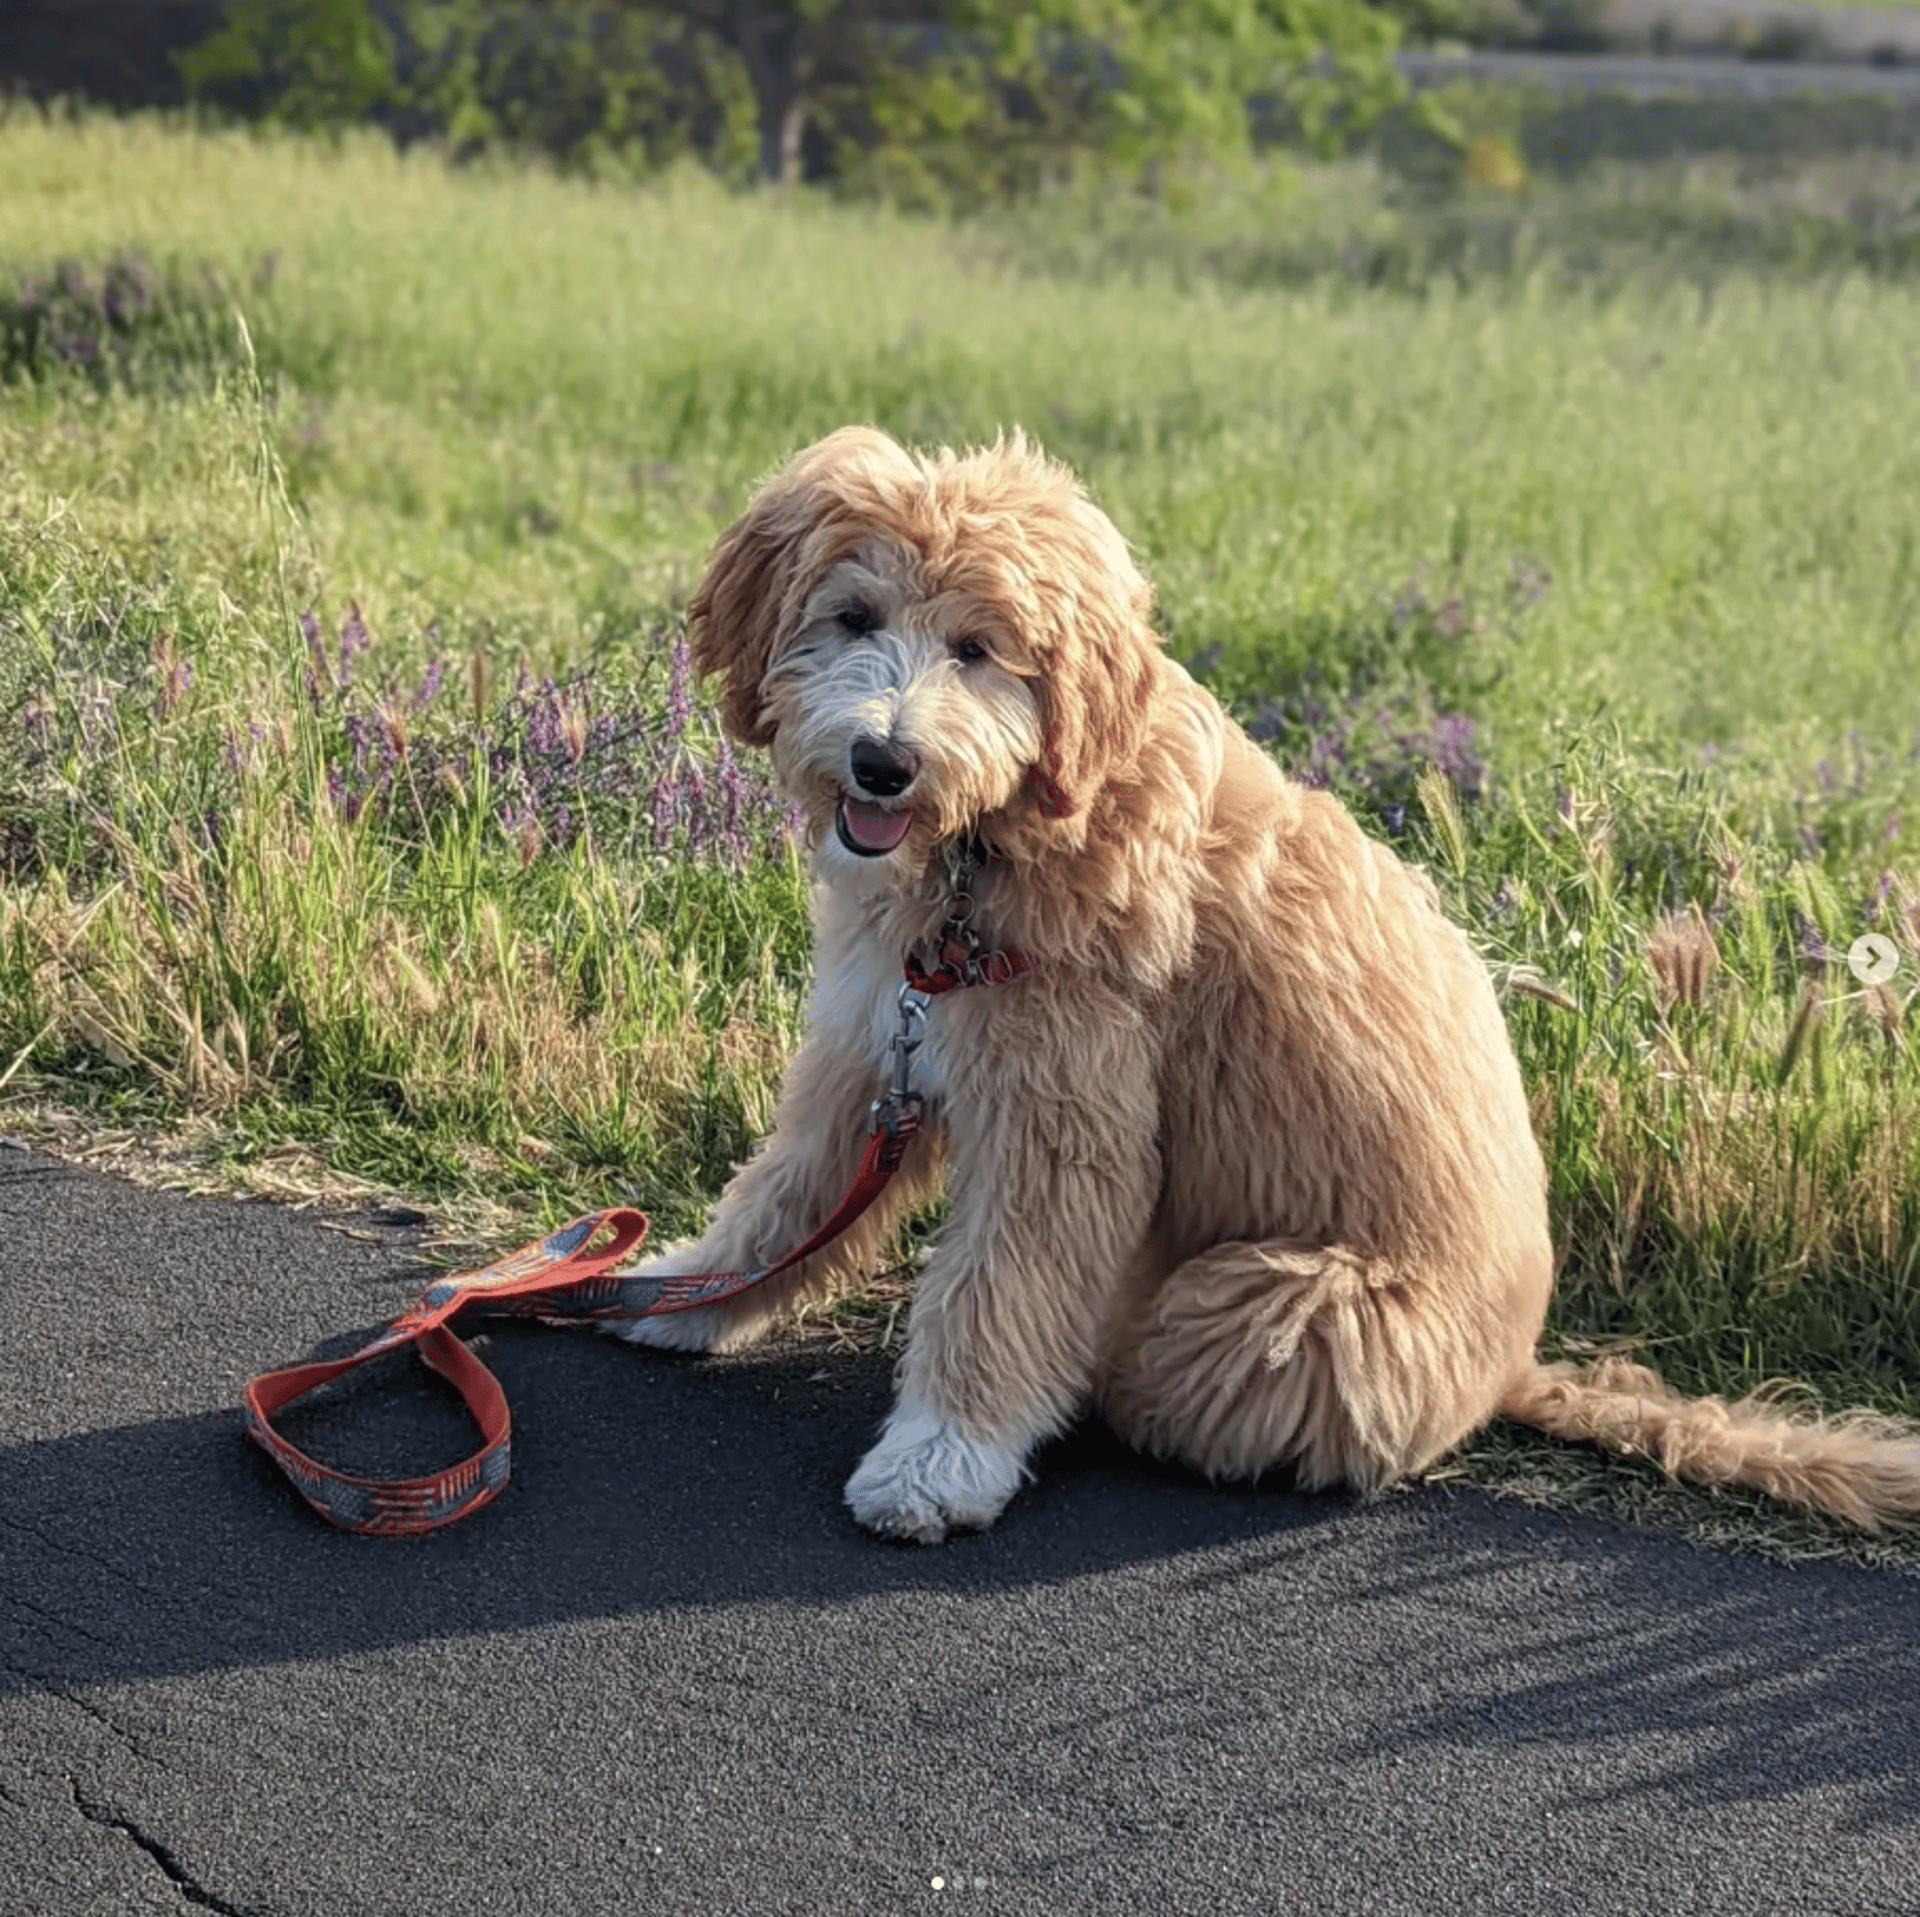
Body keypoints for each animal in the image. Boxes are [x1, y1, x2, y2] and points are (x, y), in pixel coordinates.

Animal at [610, 420, 1920, 1544]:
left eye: (978, 650)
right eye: (853, 615)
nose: (884, 760)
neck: (994, 849)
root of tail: (1511, 1370)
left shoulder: (1064, 1111)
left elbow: (1000, 1288)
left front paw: (940, 1460)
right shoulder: (873, 1041)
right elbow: (786, 1191)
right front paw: (681, 1292)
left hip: (1270, 1305)